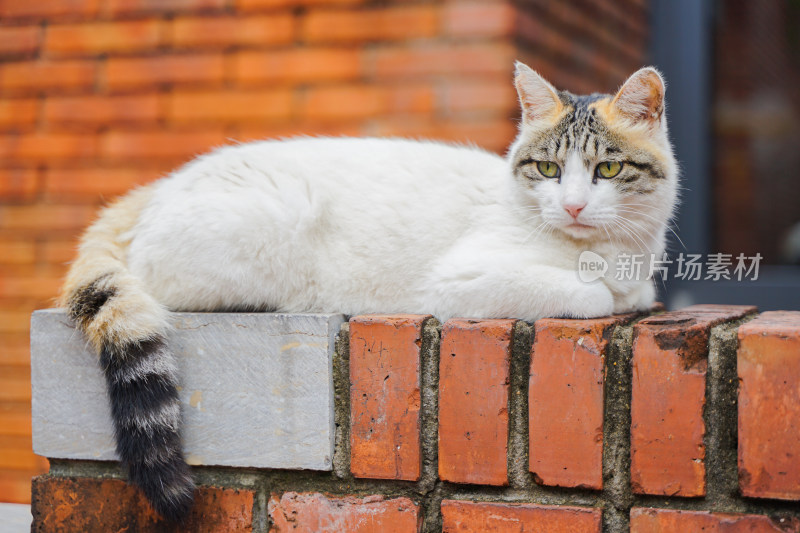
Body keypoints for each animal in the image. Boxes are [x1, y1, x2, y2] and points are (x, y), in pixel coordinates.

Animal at [59, 63, 680, 520]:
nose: (572, 206)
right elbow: (592, 295)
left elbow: (634, 292)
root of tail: (156, 188)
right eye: (548, 169)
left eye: (607, 169)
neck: (606, 253)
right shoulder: (458, 281)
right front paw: (599, 290)